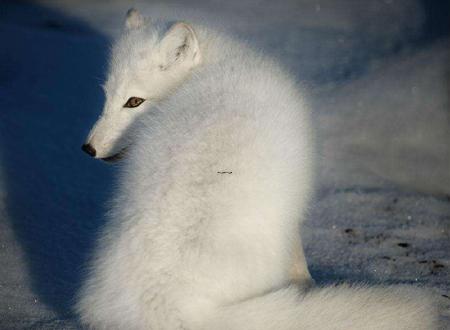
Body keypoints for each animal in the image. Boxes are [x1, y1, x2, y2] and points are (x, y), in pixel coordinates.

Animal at [76, 9, 436, 328]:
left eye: (133, 102)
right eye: (107, 96)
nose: (88, 149)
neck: (215, 66)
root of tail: (164, 304)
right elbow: (299, 259)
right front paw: (308, 284)